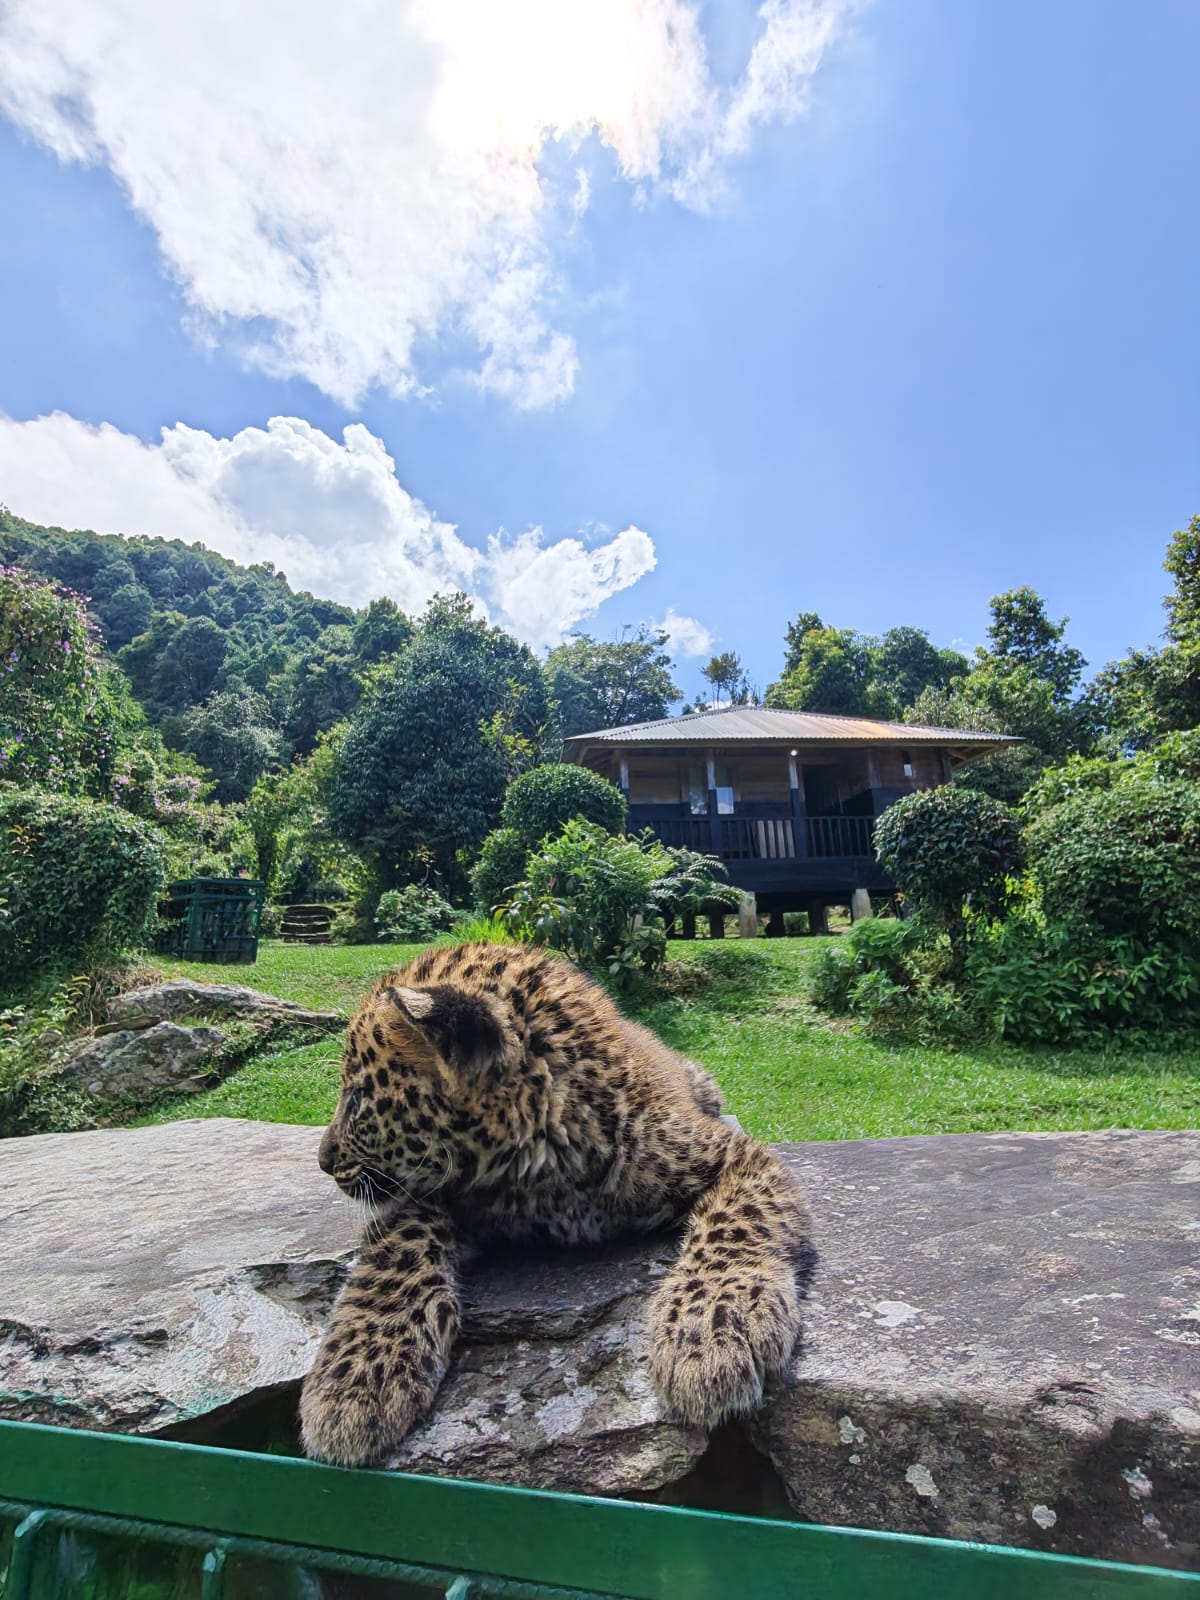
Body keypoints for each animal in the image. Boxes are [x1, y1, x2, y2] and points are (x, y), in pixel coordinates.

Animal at [299, 940, 812, 1467]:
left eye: (359, 1096)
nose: (322, 1161)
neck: (544, 1161)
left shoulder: (737, 1156)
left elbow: (734, 1222)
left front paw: (708, 1330)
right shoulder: (425, 1196)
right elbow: (400, 1248)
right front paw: (357, 1377)